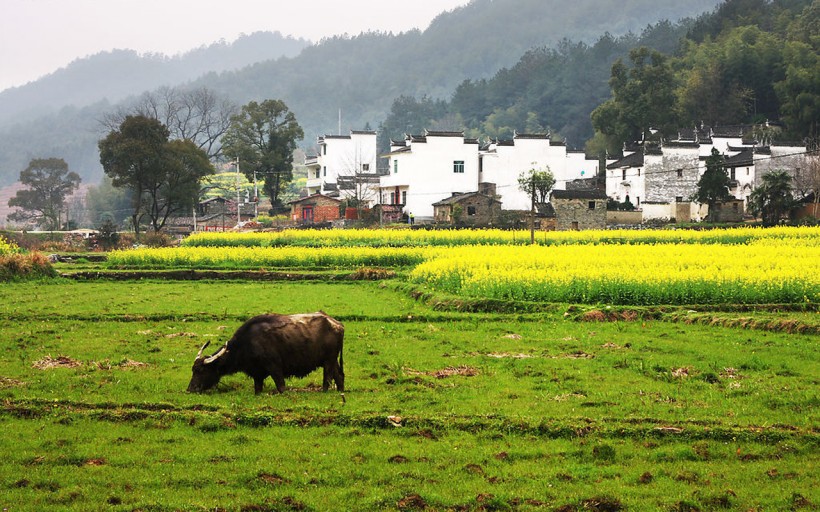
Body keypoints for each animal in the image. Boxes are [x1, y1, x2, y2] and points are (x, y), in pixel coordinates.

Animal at [187, 310, 344, 394]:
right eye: (193, 370)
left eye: (201, 370)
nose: (190, 389)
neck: (247, 342)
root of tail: (337, 324)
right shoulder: (257, 374)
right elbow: (258, 389)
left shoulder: (275, 367)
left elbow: (281, 387)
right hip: (333, 361)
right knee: (339, 376)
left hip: (328, 361)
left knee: (328, 378)